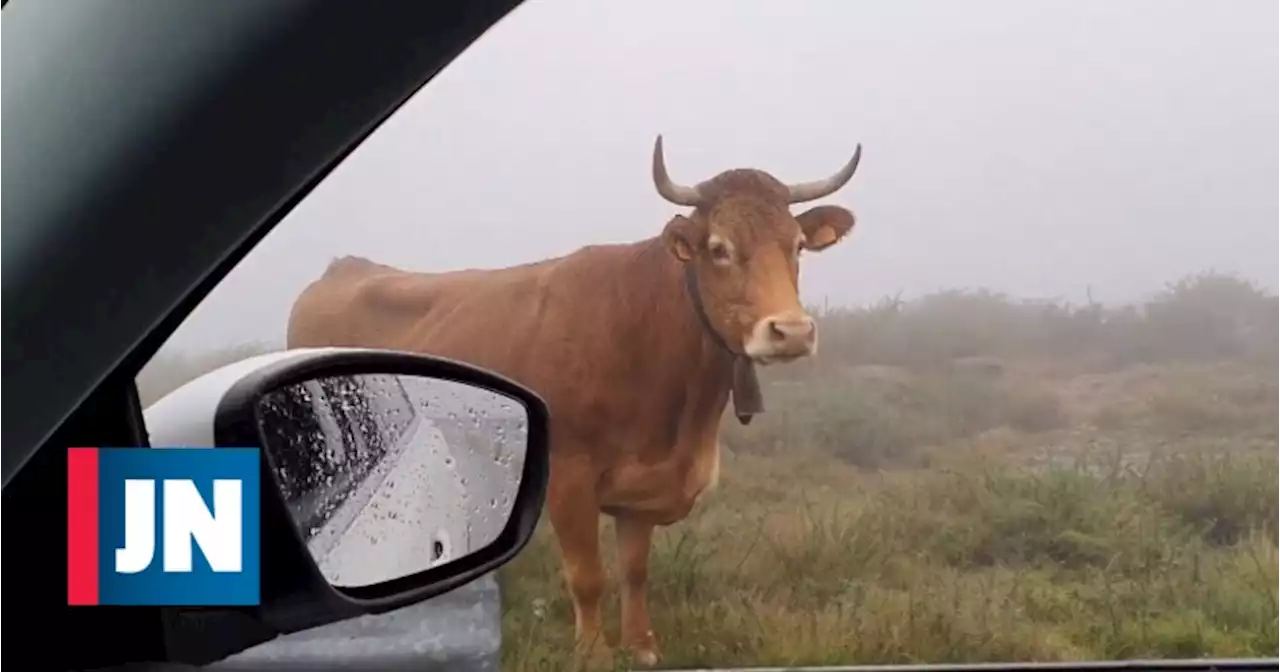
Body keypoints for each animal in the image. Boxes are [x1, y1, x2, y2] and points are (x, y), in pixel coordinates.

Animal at [286, 136, 865, 665]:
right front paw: (593, 653)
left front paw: (642, 646)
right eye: (719, 248)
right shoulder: (570, 476)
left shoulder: (642, 486)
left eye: (797, 245)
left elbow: (634, 570)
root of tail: (344, 267)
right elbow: (589, 575)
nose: (791, 332)